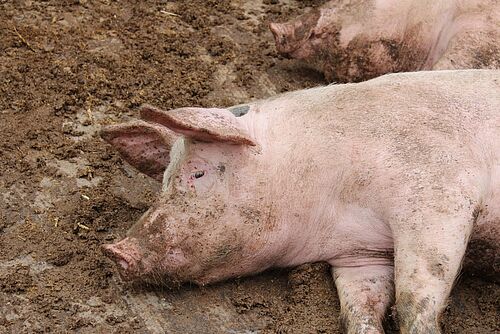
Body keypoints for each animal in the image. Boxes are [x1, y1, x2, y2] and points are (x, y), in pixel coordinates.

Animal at [99, 69, 498, 332]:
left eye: (198, 173)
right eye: (165, 178)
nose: (115, 251)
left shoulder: (438, 194)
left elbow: (416, 297)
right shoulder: (360, 256)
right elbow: (361, 306)